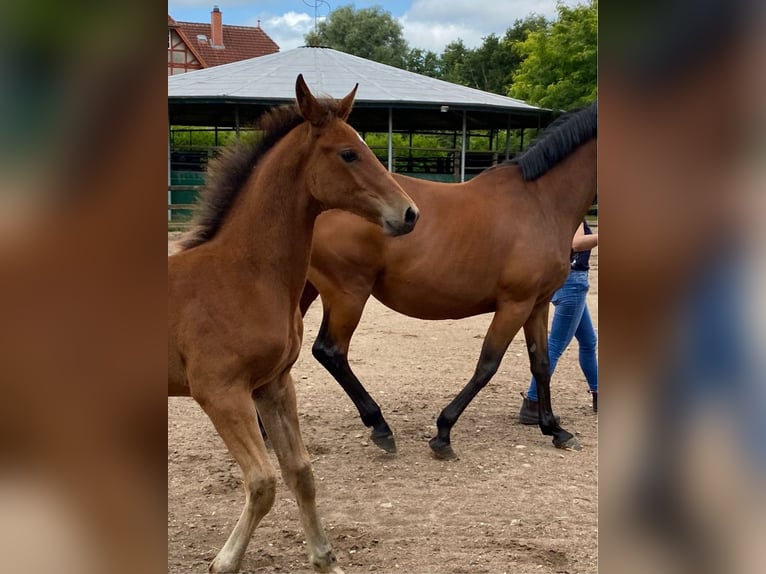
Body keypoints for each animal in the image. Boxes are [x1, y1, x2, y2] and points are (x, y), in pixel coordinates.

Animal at [169, 74, 420, 572]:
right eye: (348, 153)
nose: (409, 213)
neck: (242, 276)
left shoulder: (272, 385)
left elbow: (300, 472)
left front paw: (325, 558)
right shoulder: (220, 392)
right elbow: (262, 482)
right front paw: (224, 561)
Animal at [302, 103, 600, 462]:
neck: (541, 202)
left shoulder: (537, 305)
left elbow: (541, 363)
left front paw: (555, 429)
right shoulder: (515, 304)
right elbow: (487, 365)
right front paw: (443, 433)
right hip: (348, 294)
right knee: (329, 351)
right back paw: (380, 427)